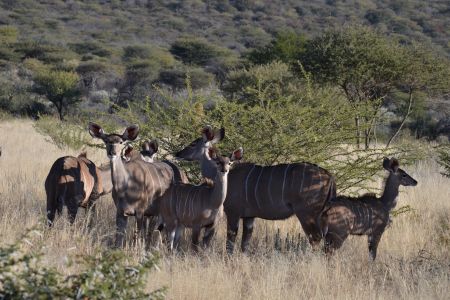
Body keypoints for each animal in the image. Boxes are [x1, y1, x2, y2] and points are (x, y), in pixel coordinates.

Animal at [174, 124, 336, 253]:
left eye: (193, 144)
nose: (178, 153)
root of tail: (329, 176)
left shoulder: (233, 213)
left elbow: (230, 242)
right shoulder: (249, 217)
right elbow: (245, 244)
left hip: (306, 212)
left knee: (315, 237)